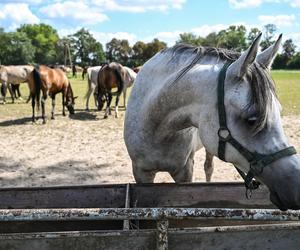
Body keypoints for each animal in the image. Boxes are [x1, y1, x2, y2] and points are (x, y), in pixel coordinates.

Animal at [123, 33, 300, 211]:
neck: (157, 128)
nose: (297, 186)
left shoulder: (184, 170)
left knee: (208, 168)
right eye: (251, 119)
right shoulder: (141, 173)